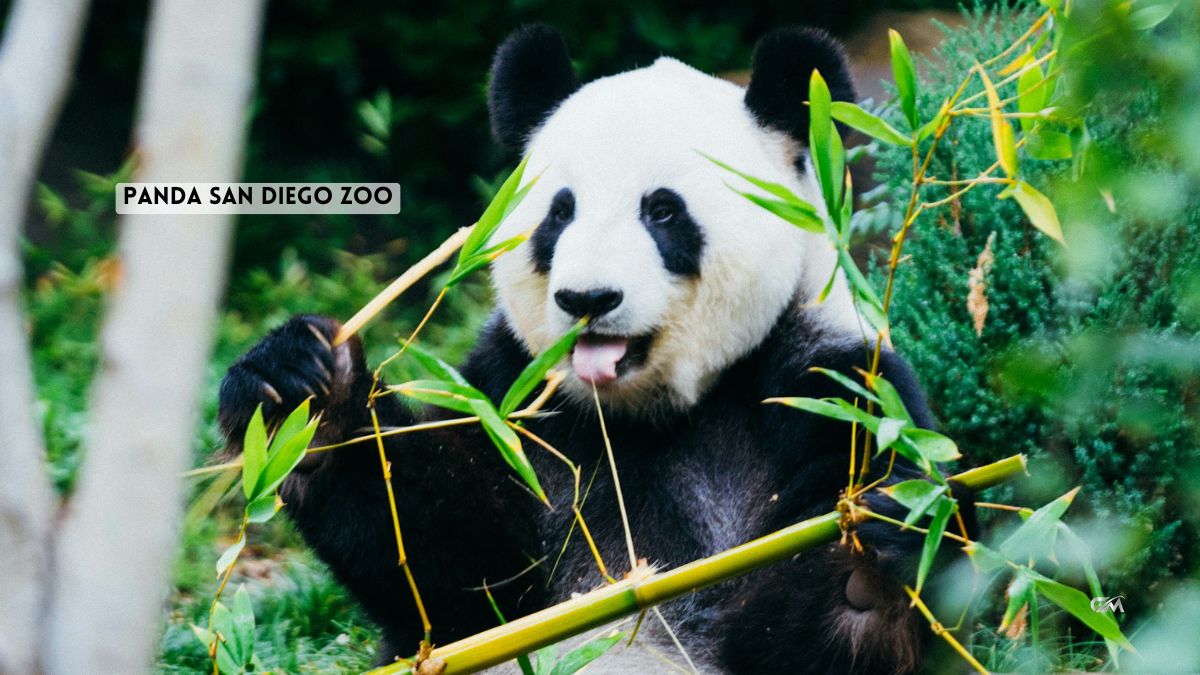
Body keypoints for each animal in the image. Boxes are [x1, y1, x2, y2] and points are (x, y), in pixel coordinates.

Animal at [216, 23, 969, 667]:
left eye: (662, 211)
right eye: (560, 212)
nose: (589, 300)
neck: (651, 411)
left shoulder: (827, 385)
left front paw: (865, 570)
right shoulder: (517, 400)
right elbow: (457, 575)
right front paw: (307, 397)